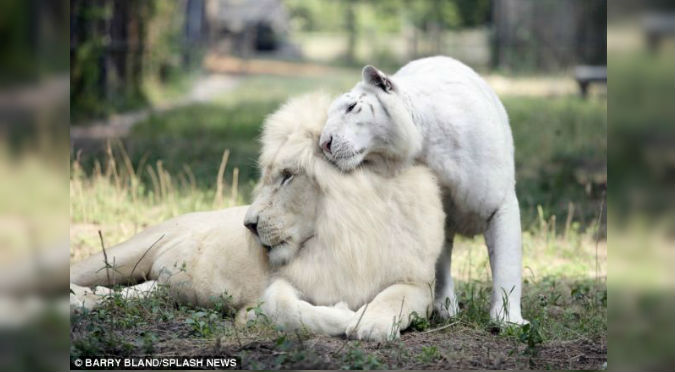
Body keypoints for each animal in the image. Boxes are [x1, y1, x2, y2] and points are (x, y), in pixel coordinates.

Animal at [71, 92, 446, 340]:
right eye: (268, 176)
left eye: (288, 175)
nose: (248, 225)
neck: (343, 234)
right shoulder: (282, 285)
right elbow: (287, 310)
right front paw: (343, 315)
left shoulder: (418, 281)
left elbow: (396, 296)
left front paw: (372, 323)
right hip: (123, 253)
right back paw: (75, 298)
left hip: (163, 285)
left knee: (131, 292)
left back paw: (89, 299)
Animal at [320, 56, 532, 326]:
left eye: (351, 107)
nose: (324, 144)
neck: (427, 145)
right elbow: (439, 264)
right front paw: (445, 308)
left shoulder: (500, 204)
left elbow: (507, 263)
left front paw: (508, 320)